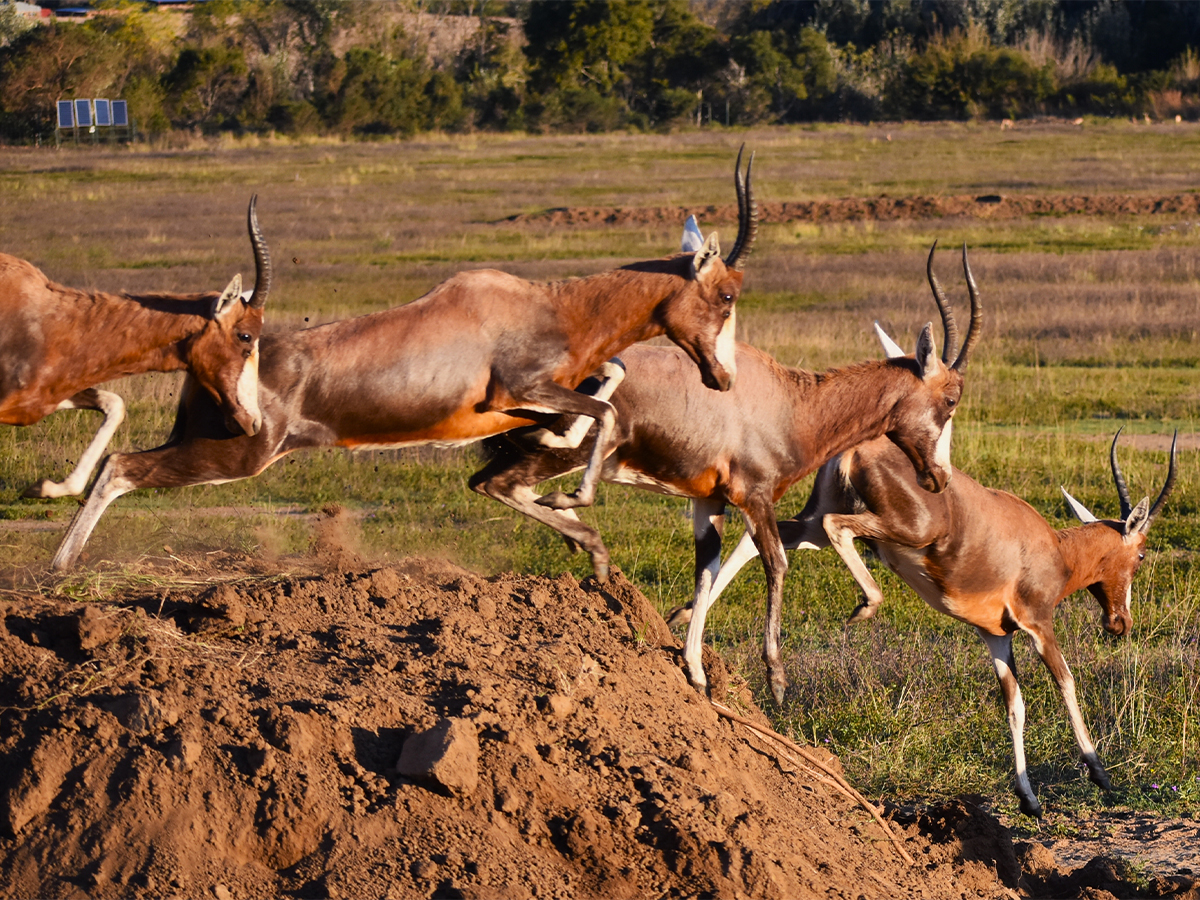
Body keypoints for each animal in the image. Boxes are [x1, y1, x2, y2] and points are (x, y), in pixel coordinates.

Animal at [1, 196, 270, 501]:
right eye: (245, 336)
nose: (253, 423)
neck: (53, 320)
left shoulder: (41, 400)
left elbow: (115, 405)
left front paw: (46, 487)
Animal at [51, 148, 758, 571]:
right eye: (726, 293)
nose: (723, 378)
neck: (549, 305)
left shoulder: (518, 404)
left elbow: (608, 380)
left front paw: (560, 448)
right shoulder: (513, 392)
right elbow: (603, 411)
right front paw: (573, 494)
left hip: (209, 441)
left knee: (119, 462)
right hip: (238, 454)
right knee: (122, 467)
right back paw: (60, 569)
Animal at [463, 241, 979, 705]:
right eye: (951, 399)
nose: (939, 478)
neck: (792, 402)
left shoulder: (709, 500)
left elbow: (706, 569)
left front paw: (696, 673)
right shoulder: (755, 497)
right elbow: (777, 563)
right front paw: (777, 678)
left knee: (496, 484)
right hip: (562, 454)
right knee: (494, 484)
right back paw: (587, 543)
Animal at [700, 424, 1176, 816]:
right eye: (1141, 554)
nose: (1120, 622)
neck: (1053, 548)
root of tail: (856, 449)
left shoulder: (995, 636)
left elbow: (1015, 705)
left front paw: (1029, 800)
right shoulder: (1039, 626)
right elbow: (1067, 683)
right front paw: (1100, 774)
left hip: (812, 524)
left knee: (761, 538)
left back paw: (695, 631)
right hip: (893, 529)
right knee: (837, 528)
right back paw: (864, 605)